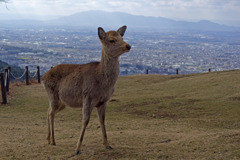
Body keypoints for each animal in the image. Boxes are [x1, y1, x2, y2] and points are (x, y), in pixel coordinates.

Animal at [41, 25, 131, 154]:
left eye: (122, 37)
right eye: (112, 40)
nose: (128, 46)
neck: (102, 83)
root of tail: (43, 77)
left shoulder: (104, 101)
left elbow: (102, 120)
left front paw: (108, 144)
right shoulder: (88, 97)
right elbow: (85, 121)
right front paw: (77, 149)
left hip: (62, 102)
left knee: (48, 110)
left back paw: (48, 139)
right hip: (53, 96)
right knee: (51, 113)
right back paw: (53, 140)